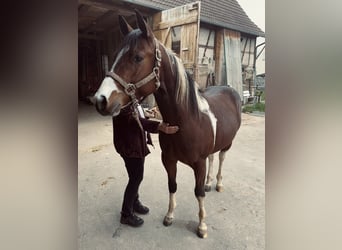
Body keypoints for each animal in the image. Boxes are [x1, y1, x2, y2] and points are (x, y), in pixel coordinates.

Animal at [93, 11, 242, 238]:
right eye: (116, 54)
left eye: (137, 57)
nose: (100, 100)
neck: (186, 121)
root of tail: (230, 89)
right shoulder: (169, 160)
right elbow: (172, 186)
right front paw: (170, 216)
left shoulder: (198, 164)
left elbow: (198, 192)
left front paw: (202, 226)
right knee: (213, 157)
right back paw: (210, 183)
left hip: (228, 143)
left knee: (221, 158)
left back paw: (217, 184)